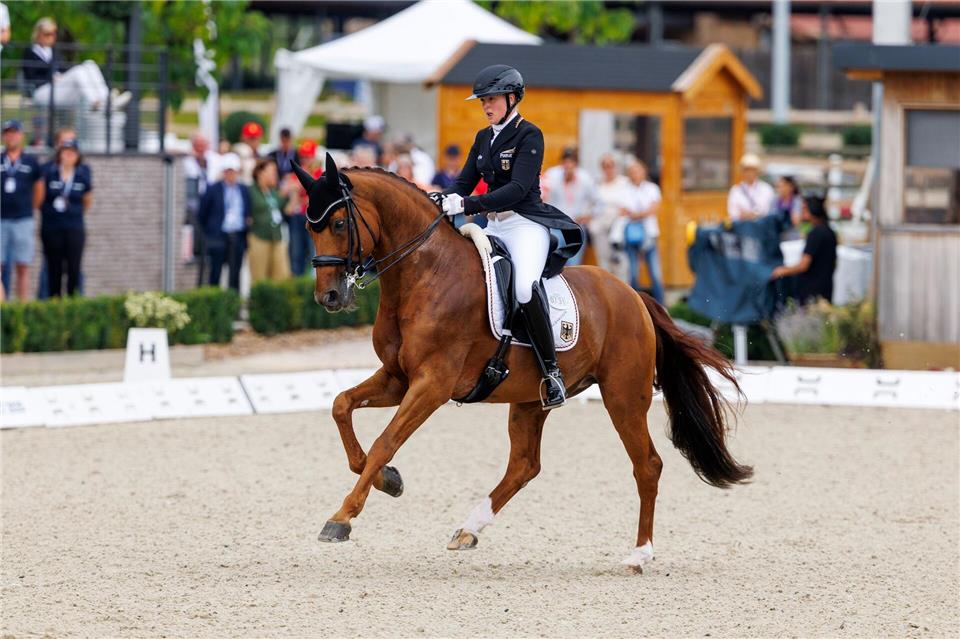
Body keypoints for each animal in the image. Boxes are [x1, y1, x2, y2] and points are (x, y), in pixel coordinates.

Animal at [293, 154, 752, 571]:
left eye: (338, 224)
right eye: (309, 228)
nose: (328, 297)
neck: (425, 274)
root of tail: (633, 294)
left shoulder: (432, 384)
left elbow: (386, 440)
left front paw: (342, 518)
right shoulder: (398, 378)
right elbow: (342, 407)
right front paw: (389, 479)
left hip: (623, 396)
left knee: (647, 465)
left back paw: (639, 555)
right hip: (532, 400)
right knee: (525, 465)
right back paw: (469, 529)